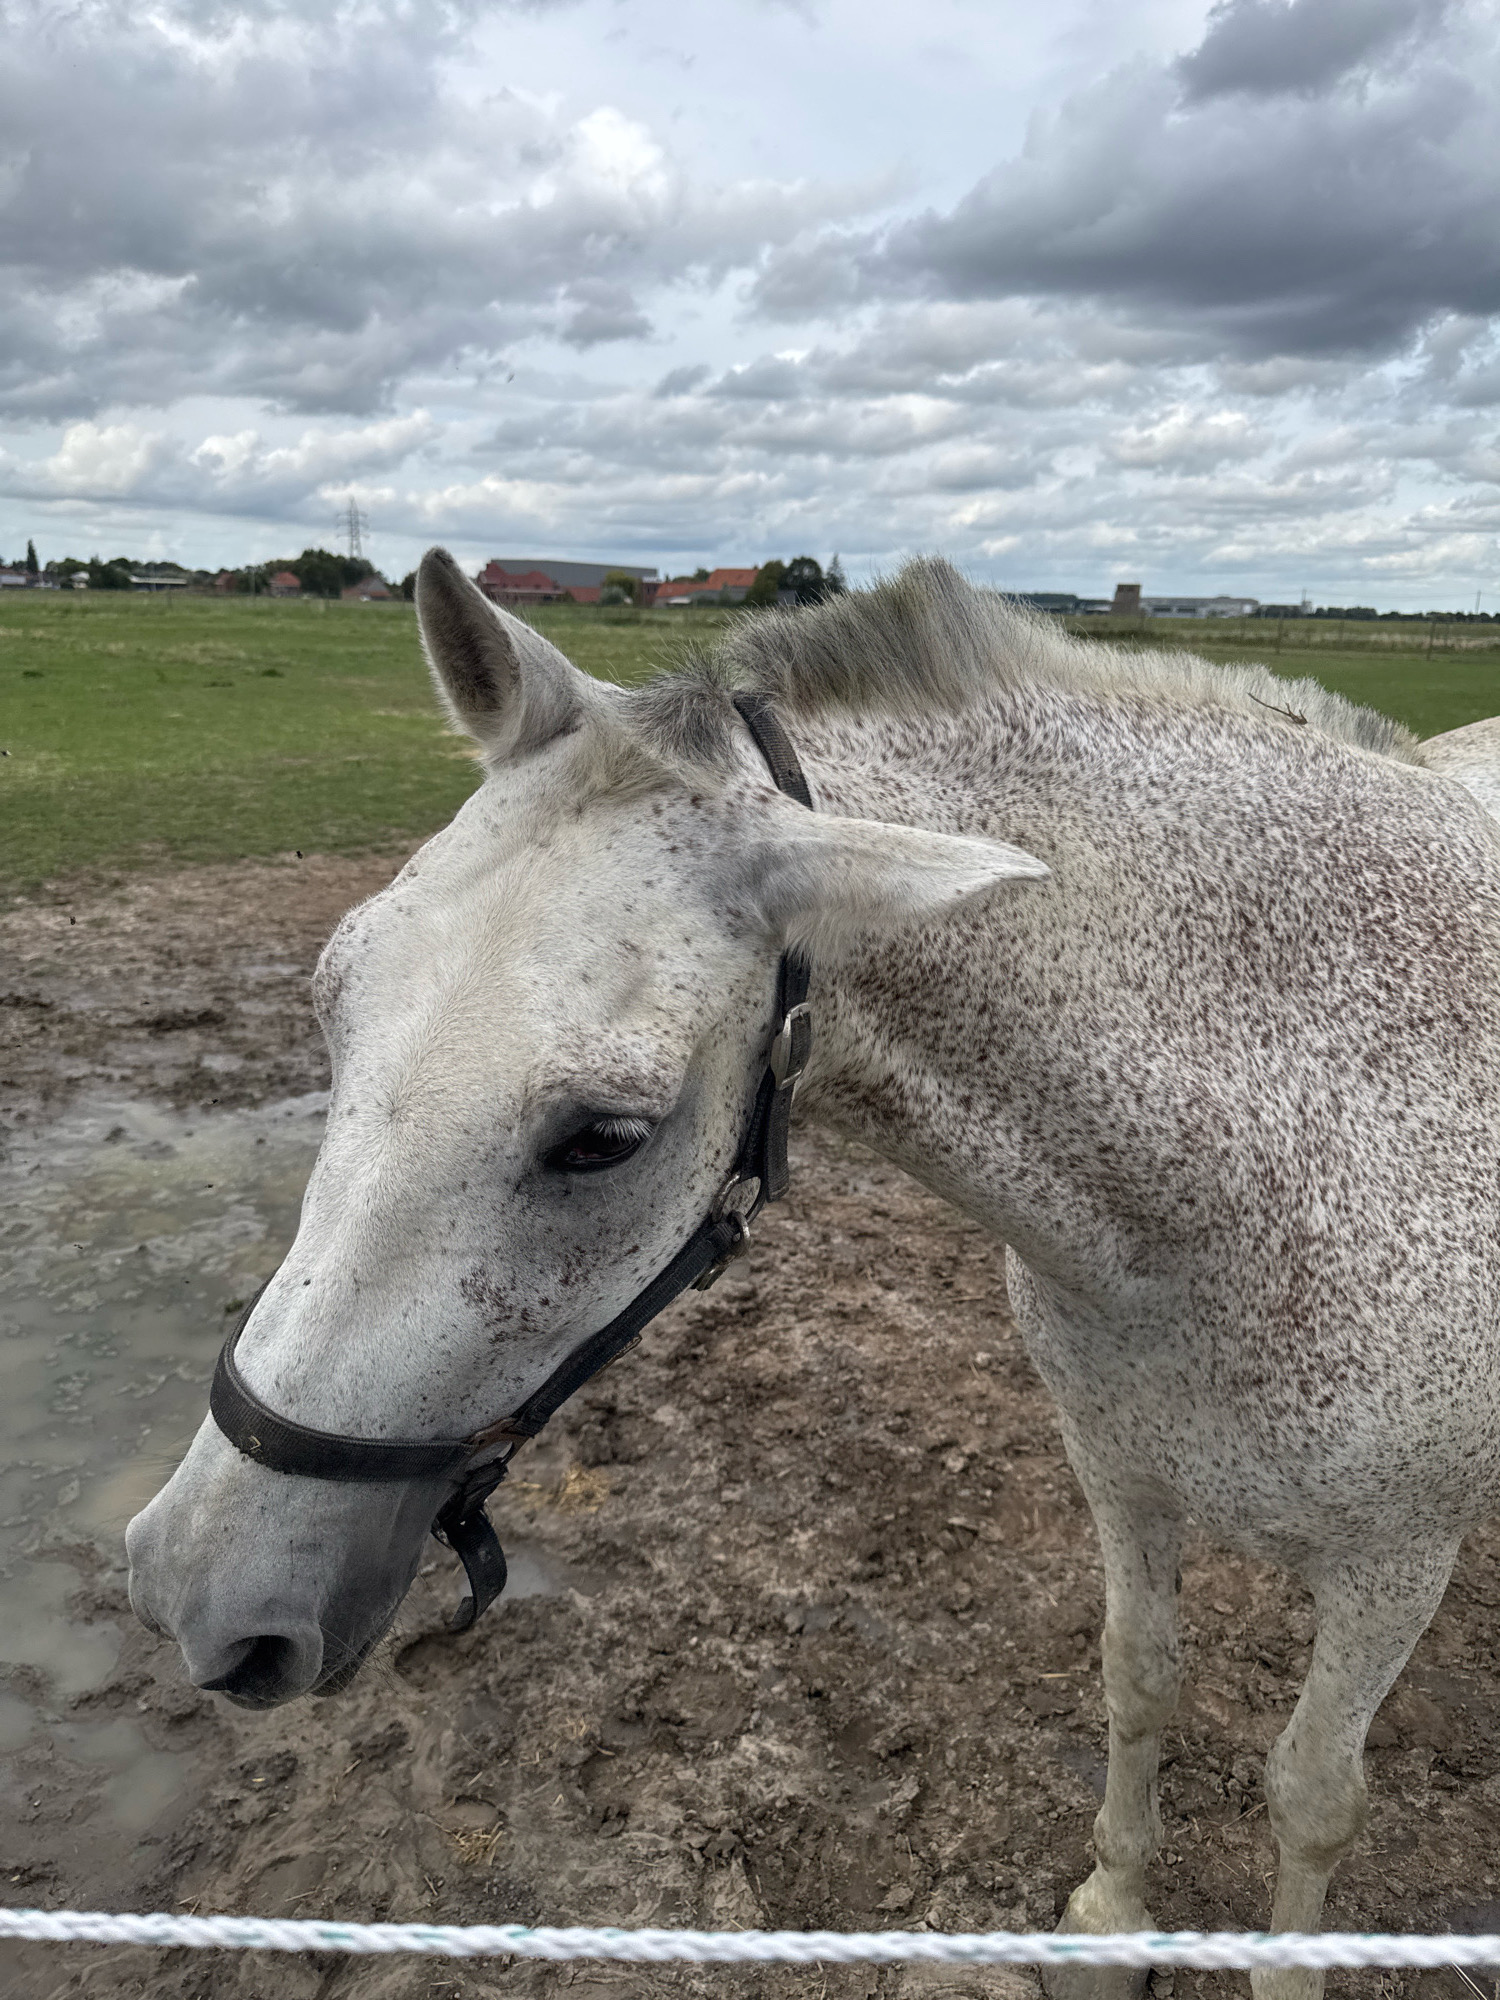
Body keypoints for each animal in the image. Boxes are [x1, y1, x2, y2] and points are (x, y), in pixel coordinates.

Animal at [127, 552, 1500, 1998]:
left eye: (604, 1137)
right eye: (333, 1004)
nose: (189, 1590)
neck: (1268, 1166)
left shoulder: (1395, 1563)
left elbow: (1313, 1794)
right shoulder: (1124, 1477)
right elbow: (1141, 1680)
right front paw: (1115, 1918)